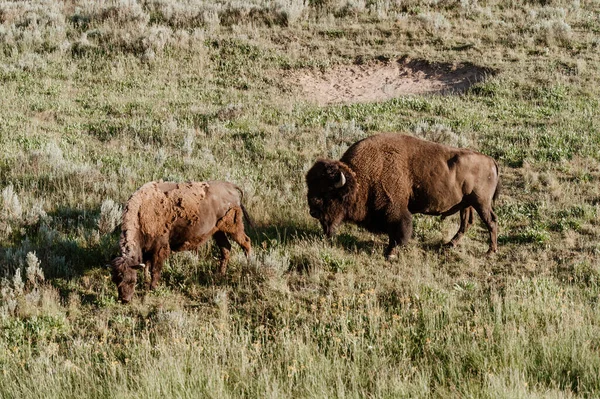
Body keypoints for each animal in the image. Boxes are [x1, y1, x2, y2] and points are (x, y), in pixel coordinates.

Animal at [111, 180, 252, 304]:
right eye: (116, 280)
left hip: (234, 227)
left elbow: (155, 269)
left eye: (131, 280)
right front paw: (146, 284)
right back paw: (219, 275)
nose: (124, 299)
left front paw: (152, 288)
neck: (141, 211)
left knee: (246, 243)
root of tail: (230, 186)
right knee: (226, 249)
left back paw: (249, 268)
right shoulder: (147, 250)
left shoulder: (159, 249)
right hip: (218, 231)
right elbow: (147, 267)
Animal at [308, 134, 500, 260]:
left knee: (491, 221)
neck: (360, 177)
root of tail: (491, 161)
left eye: (327, 194)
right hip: (467, 204)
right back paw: (449, 245)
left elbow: (399, 232)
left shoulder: (395, 210)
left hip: (481, 203)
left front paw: (390, 254)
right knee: (466, 223)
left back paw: (490, 252)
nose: (313, 212)